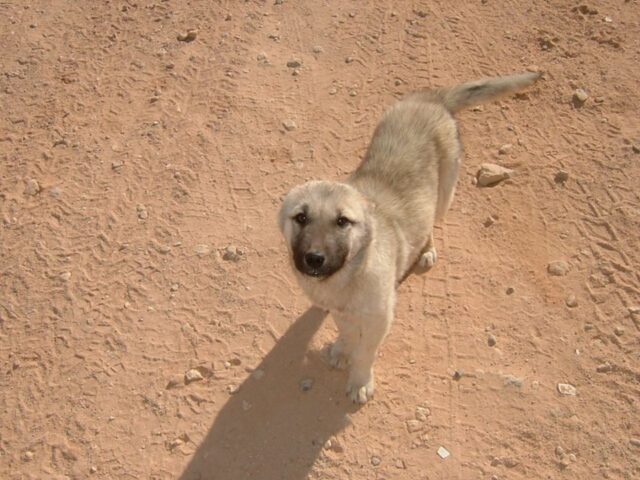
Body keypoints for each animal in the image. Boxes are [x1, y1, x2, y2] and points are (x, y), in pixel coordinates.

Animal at [278, 71, 540, 404]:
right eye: (300, 217)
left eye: (342, 222)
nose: (314, 259)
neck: (350, 274)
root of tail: (429, 98)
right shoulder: (341, 310)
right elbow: (347, 332)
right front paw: (342, 349)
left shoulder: (380, 318)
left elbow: (365, 353)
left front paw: (360, 381)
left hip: (444, 195)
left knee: (430, 223)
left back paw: (426, 250)